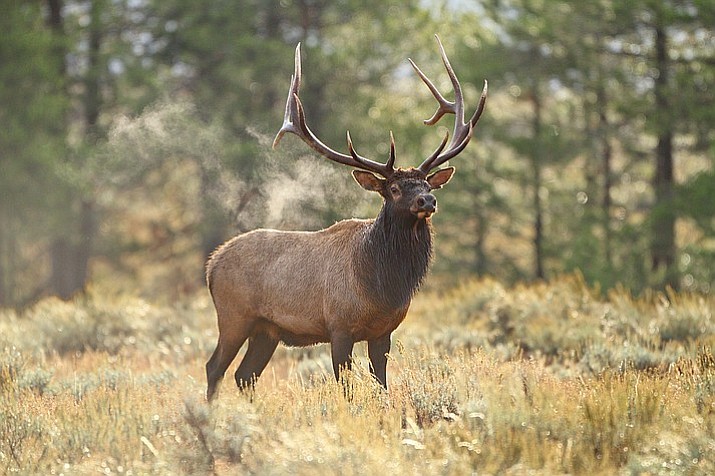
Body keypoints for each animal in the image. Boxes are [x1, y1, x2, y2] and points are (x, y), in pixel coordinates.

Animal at [204, 36, 490, 402]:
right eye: (394, 188)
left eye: (427, 183)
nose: (428, 200)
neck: (383, 286)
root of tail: (212, 264)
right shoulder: (339, 326)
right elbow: (346, 388)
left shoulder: (383, 331)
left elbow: (382, 384)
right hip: (234, 316)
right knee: (216, 367)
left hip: (267, 330)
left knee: (245, 374)